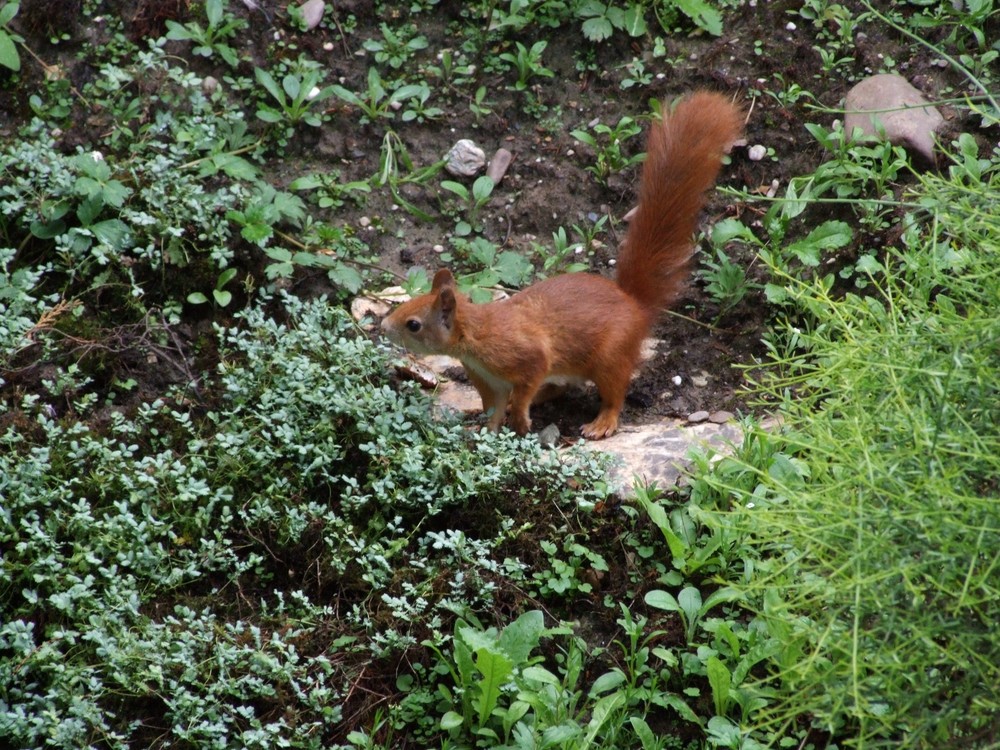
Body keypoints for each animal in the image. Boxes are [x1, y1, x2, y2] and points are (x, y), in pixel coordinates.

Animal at [382, 91, 744, 440]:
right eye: (404, 304)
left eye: (413, 324)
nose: (383, 327)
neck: (476, 334)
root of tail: (635, 306)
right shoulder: (490, 382)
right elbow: (494, 408)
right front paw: (486, 432)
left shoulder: (526, 356)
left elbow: (528, 382)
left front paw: (521, 420)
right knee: (559, 388)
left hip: (610, 357)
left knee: (614, 393)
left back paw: (602, 422)